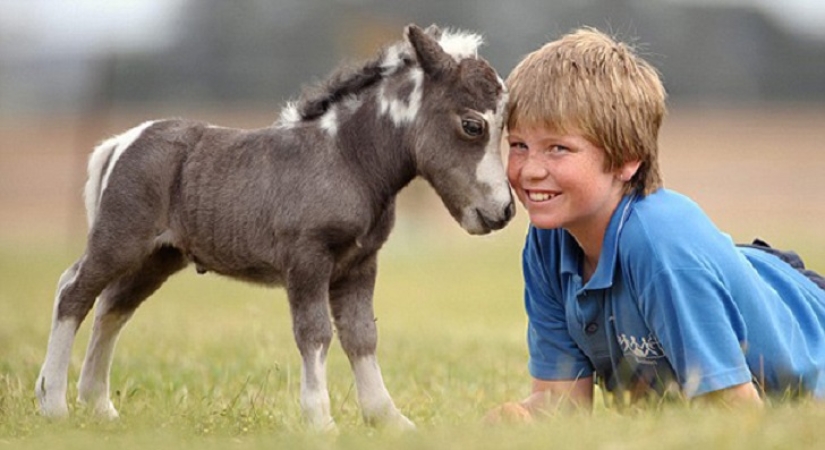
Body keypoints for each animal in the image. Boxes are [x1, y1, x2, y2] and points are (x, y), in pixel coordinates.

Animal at [35, 24, 514, 431]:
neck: (347, 160)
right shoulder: (308, 259)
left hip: (159, 257)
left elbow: (362, 335)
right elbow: (315, 333)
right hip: (120, 240)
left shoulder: (360, 264)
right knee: (74, 291)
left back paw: (100, 406)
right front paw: (321, 421)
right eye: (473, 125)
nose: (503, 210)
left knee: (113, 307)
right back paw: (53, 403)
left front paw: (388, 419)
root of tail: (122, 142)